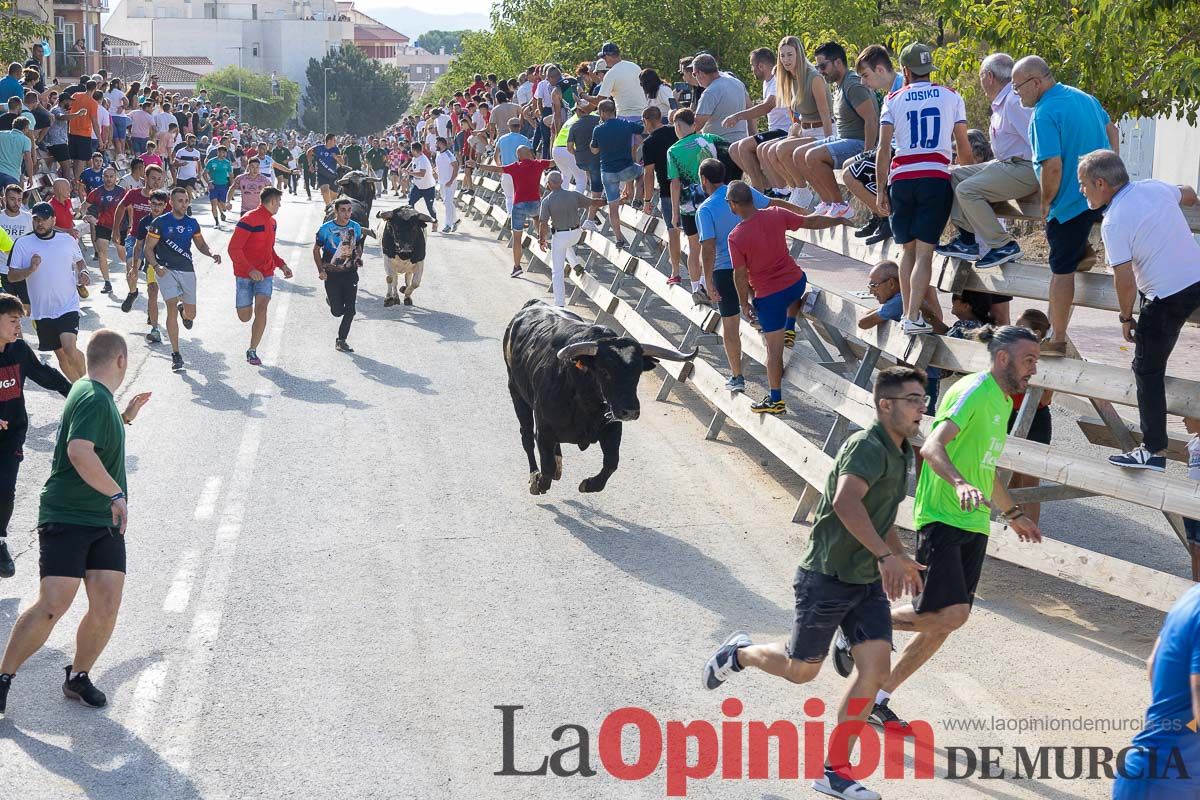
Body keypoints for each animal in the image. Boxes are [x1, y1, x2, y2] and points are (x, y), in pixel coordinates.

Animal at [501, 302, 700, 494]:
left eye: (638, 372)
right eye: (605, 371)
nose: (630, 411)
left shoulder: (613, 427)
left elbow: (612, 462)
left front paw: (590, 484)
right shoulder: (544, 428)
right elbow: (546, 466)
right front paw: (540, 481)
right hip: (516, 394)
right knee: (527, 437)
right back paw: (535, 474)